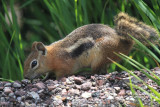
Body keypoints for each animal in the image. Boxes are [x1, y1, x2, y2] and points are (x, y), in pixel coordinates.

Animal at [23, 12, 159, 79]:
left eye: (34, 63)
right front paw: (46, 77)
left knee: (97, 72)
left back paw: (86, 73)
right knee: (104, 70)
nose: (25, 77)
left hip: (100, 55)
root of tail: (124, 42)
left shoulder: (65, 67)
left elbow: (61, 75)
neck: (53, 56)